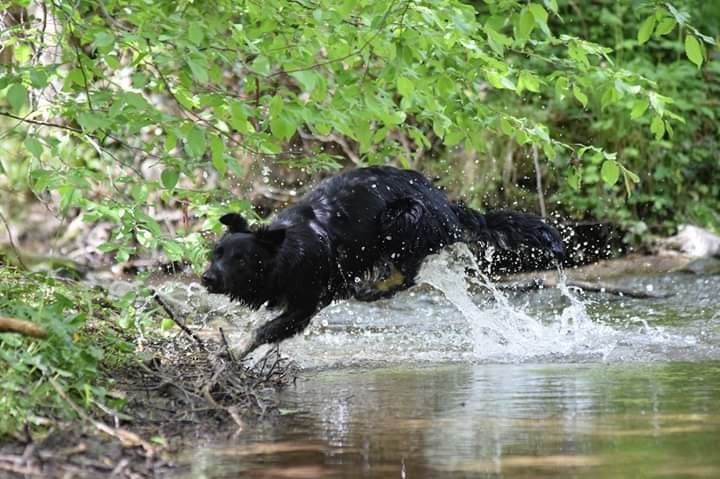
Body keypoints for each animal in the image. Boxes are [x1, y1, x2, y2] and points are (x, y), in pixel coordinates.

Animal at [201, 167, 564, 358]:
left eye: (241, 259)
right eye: (215, 253)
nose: (207, 278)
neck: (289, 250)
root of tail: (446, 204)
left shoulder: (307, 303)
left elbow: (263, 330)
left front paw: (232, 350)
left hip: (402, 217)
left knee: (408, 275)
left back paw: (373, 289)